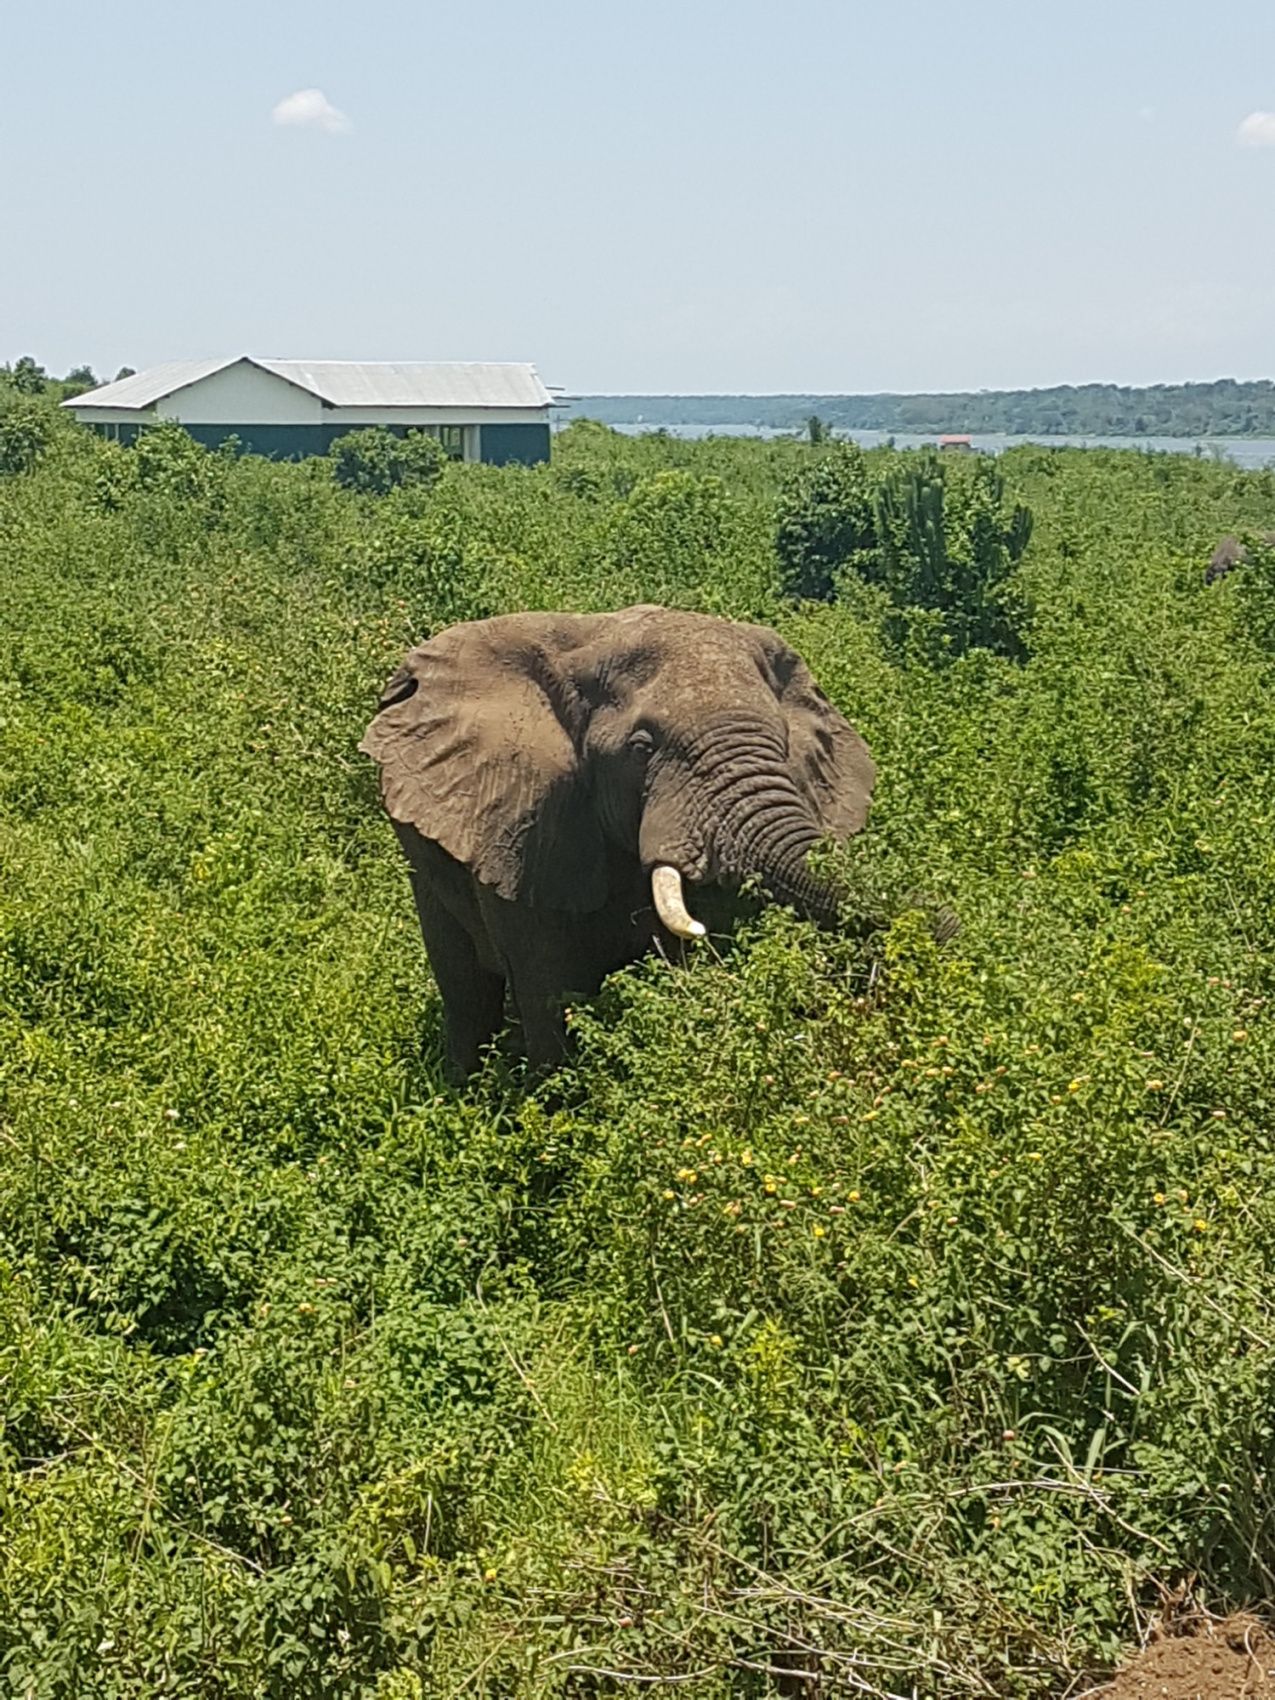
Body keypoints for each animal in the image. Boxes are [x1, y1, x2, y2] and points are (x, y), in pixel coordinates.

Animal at [360, 608, 877, 1074]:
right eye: (641, 748)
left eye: (785, 742)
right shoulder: (527, 824)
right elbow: (549, 982)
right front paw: (556, 1109)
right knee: (465, 986)